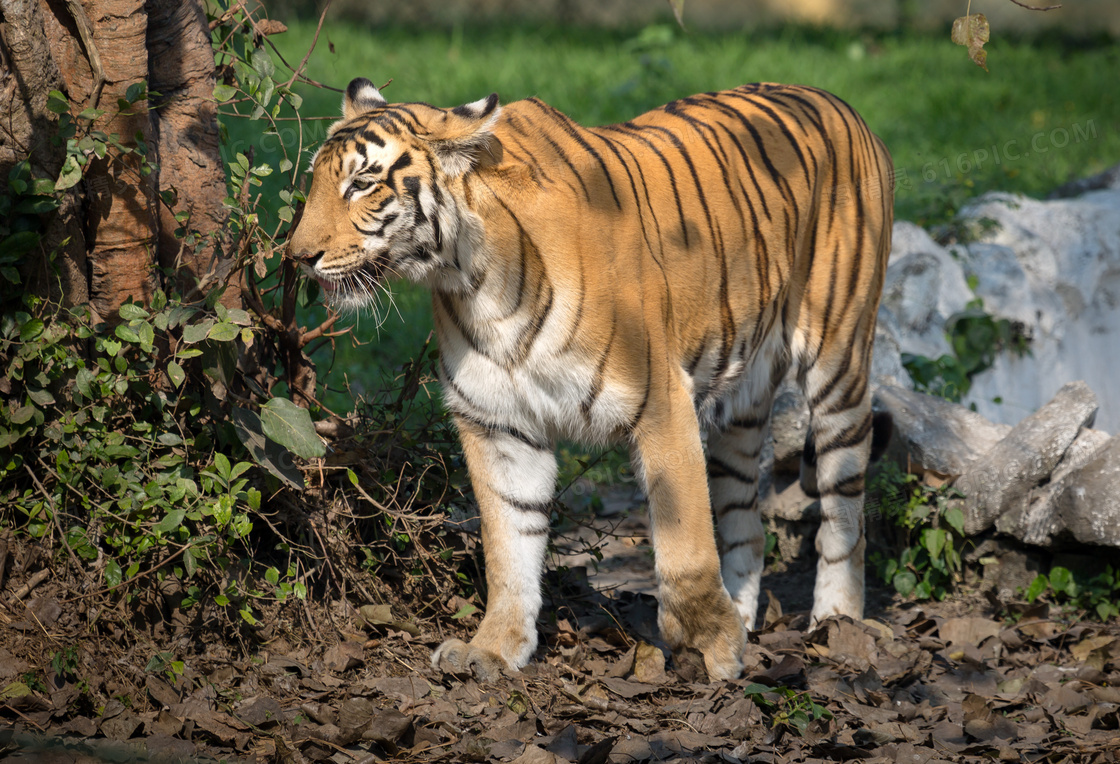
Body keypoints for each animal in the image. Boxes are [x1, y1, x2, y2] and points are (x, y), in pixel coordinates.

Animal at [286, 75, 891, 676]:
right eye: (316, 182)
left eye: (362, 184)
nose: (296, 257)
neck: (474, 279)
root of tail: (835, 100)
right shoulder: (500, 424)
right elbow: (508, 546)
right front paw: (493, 648)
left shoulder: (662, 404)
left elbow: (686, 544)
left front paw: (709, 646)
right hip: (741, 404)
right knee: (748, 520)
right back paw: (746, 620)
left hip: (839, 365)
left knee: (845, 512)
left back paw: (836, 622)